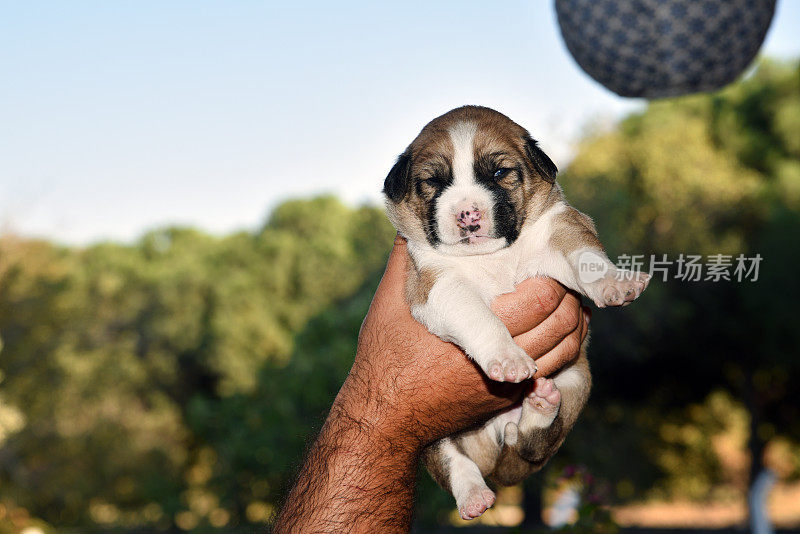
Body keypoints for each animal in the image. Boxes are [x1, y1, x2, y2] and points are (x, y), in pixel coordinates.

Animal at [382, 107, 648, 520]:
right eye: (434, 181)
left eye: (498, 173)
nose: (467, 214)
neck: (492, 257)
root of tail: (495, 446)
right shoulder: (437, 283)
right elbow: (477, 315)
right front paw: (507, 357)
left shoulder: (561, 229)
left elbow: (586, 259)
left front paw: (613, 282)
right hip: (426, 428)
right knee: (454, 462)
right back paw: (474, 494)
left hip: (575, 382)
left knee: (534, 442)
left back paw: (540, 406)